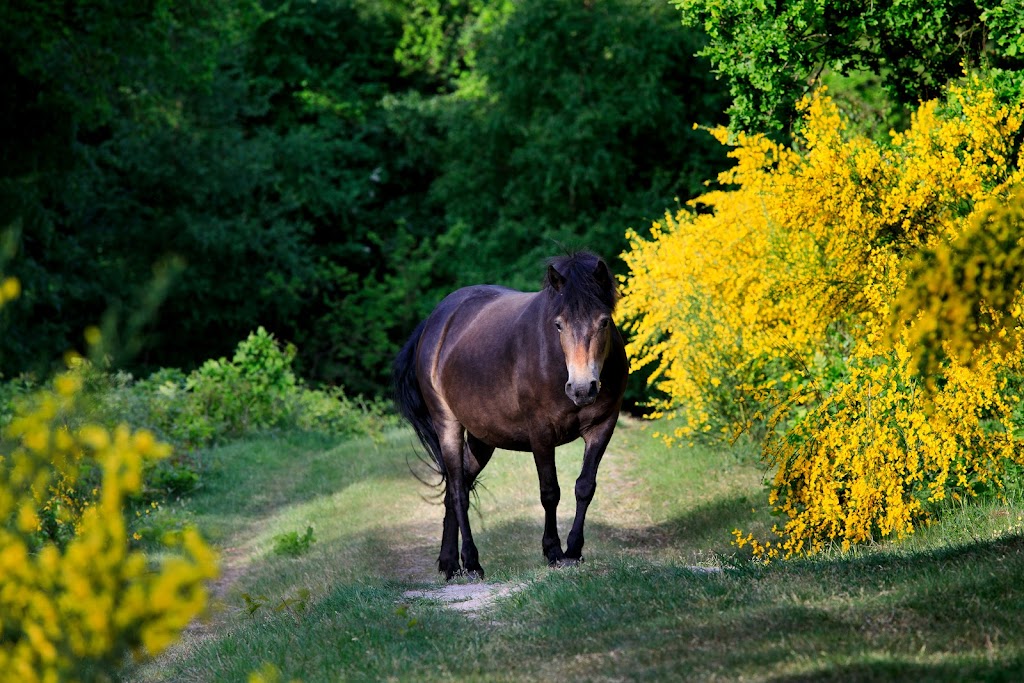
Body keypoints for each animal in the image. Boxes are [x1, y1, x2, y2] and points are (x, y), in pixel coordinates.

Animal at [393, 253, 626, 581]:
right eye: (558, 325)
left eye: (604, 322)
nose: (582, 388)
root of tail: (434, 322)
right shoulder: (541, 433)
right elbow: (549, 492)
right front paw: (553, 551)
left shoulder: (603, 427)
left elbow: (584, 487)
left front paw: (574, 550)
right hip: (448, 425)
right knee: (458, 490)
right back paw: (471, 562)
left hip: (482, 440)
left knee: (456, 487)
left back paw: (449, 563)